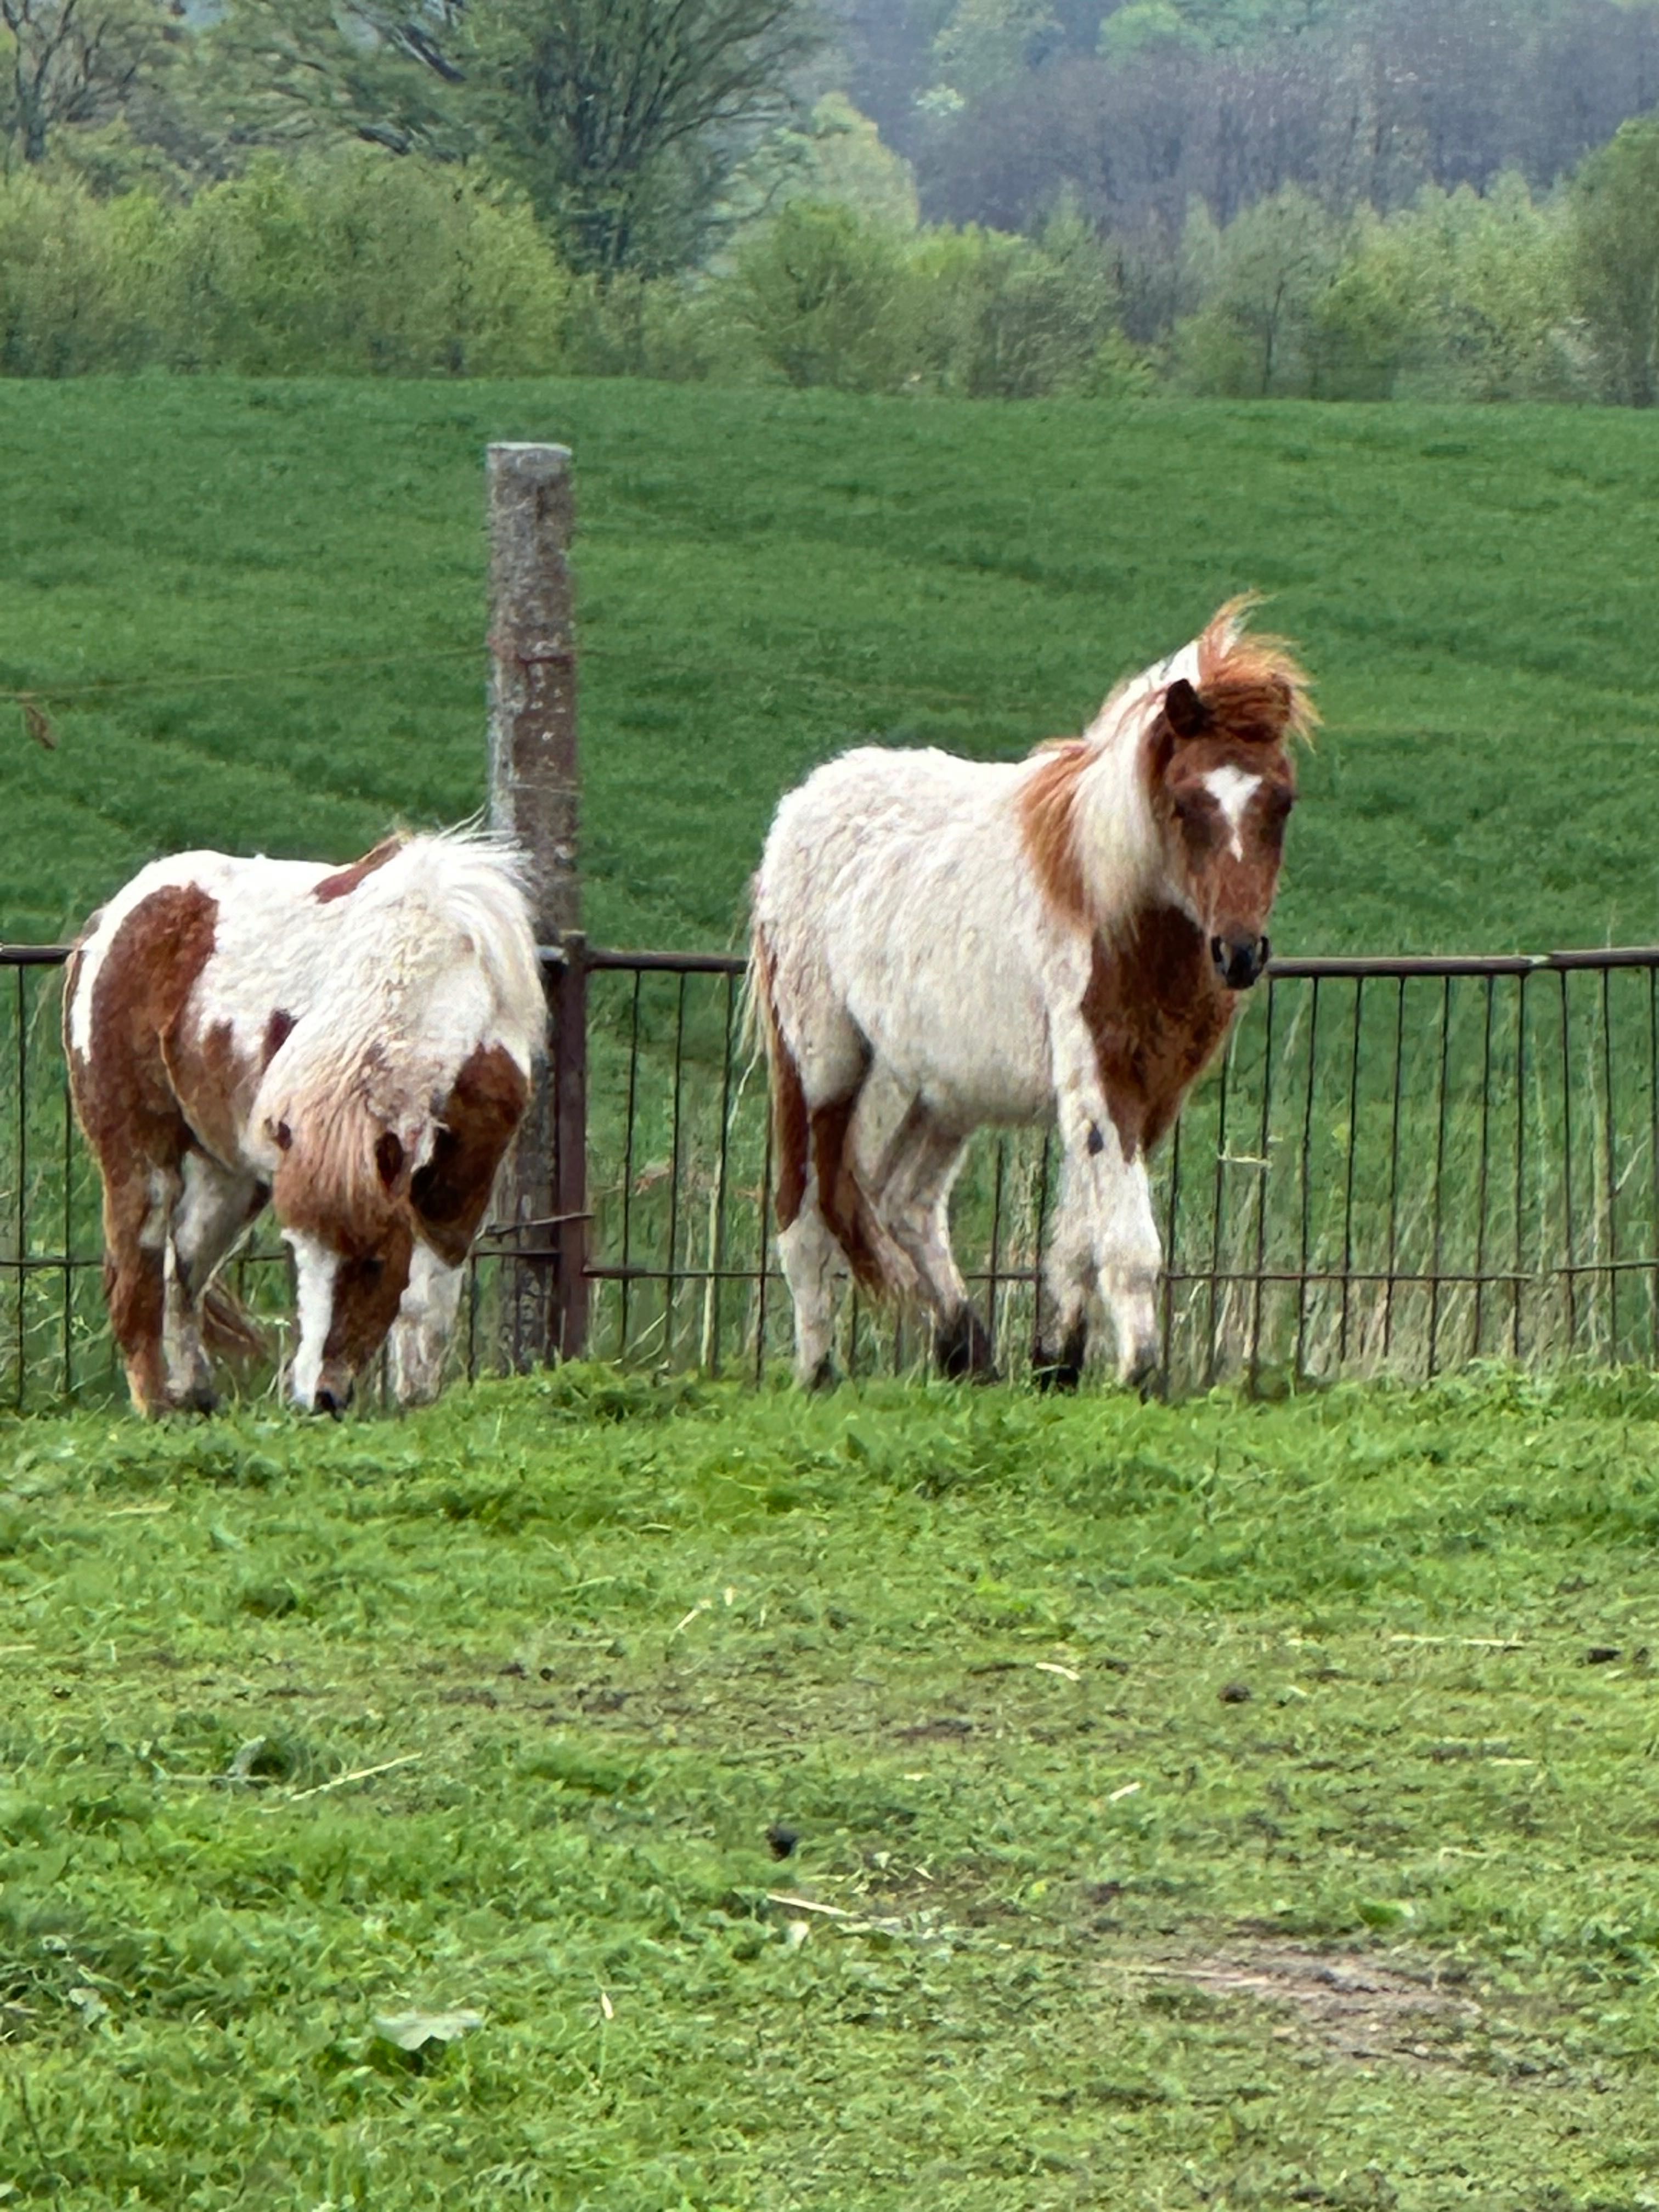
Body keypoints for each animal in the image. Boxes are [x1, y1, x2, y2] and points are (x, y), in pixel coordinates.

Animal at [66, 832, 546, 1415]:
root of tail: (115, 918)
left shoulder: (462, 1182)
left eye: (373, 1263)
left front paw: (414, 1404)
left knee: (184, 1271)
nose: (318, 1398)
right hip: (141, 1157)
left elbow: (425, 1303)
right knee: (137, 1270)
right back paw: (156, 1406)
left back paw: (195, 1396)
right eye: (299, 1259)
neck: (445, 982)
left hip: (230, 1177)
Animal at [761, 606, 1318, 1389]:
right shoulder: (1100, 1077)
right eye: (1185, 804)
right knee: (803, 1211)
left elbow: (1078, 1239)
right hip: (821, 1062)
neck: (1113, 908)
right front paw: (1139, 1374)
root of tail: (800, 805)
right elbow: (1130, 1244)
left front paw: (1058, 1363)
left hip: (940, 1089)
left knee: (903, 1201)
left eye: (1282, 801)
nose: (1238, 954)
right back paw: (818, 1371)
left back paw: (967, 1350)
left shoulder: (1150, 1092)